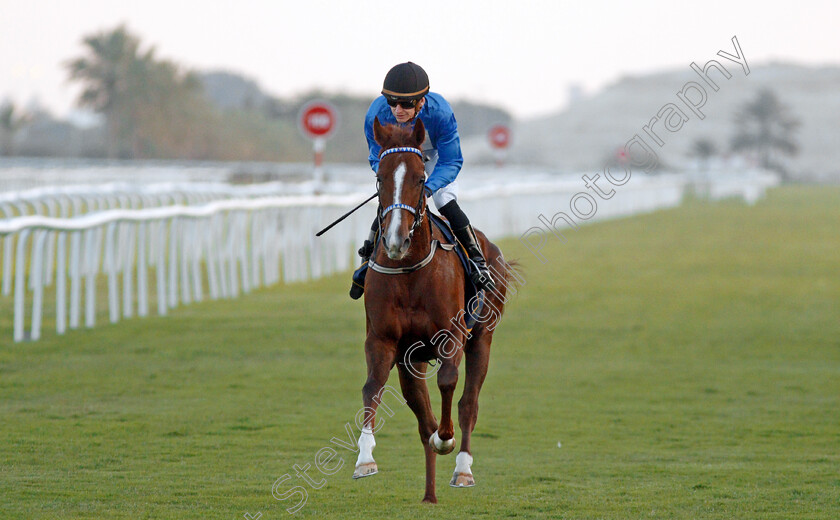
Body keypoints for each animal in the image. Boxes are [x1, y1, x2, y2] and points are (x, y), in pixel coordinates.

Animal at [352, 119, 516, 504]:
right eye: (380, 177)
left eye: (420, 178)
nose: (395, 240)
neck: (409, 271)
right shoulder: (383, 340)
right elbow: (372, 387)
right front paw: (365, 458)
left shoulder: (451, 336)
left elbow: (449, 383)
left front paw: (446, 438)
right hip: (412, 359)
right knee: (420, 411)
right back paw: (430, 490)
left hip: (483, 337)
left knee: (469, 403)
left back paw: (462, 468)